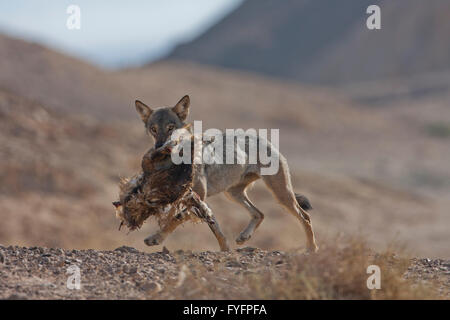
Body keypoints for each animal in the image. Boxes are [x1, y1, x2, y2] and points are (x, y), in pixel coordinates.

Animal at [134, 95, 320, 252]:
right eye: (153, 129)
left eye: (170, 128)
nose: (159, 147)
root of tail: (265, 139)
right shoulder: (193, 200)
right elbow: (214, 227)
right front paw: (225, 250)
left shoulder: (199, 197)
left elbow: (177, 218)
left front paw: (156, 238)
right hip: (232, 194)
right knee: (259, 213)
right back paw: (244, 236)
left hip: (281, 195)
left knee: (305, 217)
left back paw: (311, 249)